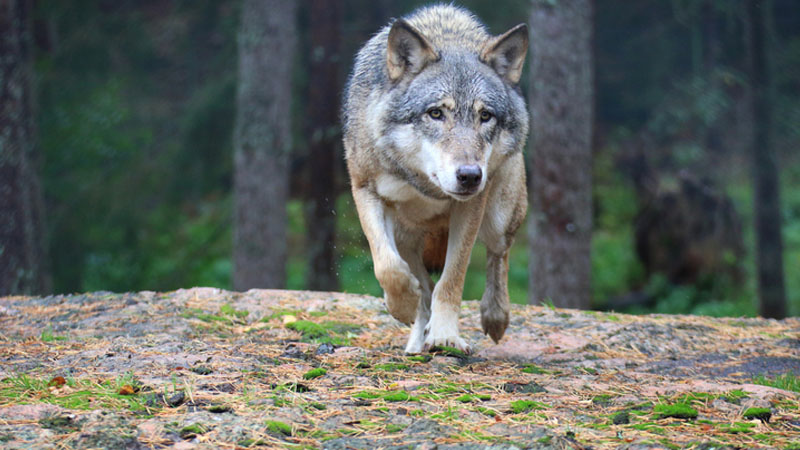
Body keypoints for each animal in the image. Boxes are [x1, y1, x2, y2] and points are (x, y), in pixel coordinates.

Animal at [340, 4, 528, 356]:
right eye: (436, 113)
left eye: (485, 116)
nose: (470, 176)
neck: (425, 186)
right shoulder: (365, 191)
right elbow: (386, 266)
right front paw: (402, 307)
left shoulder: (471, 208)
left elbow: (451, 279)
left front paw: (445, 336)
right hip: (406, 237)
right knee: (422, 284)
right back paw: (416, 341)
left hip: (499, 216)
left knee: (499, 254)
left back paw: (494, 316)